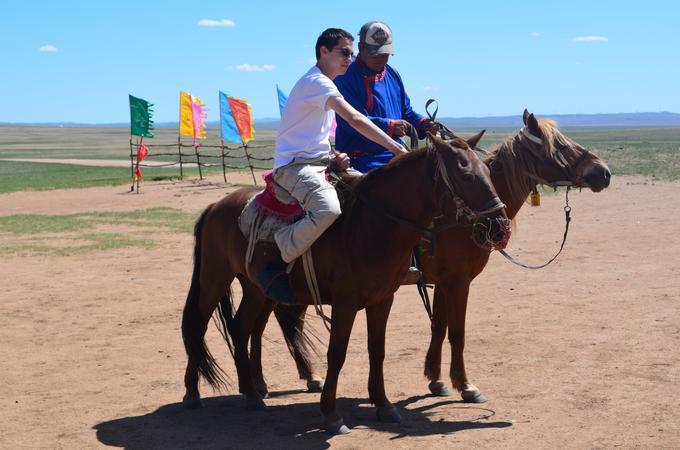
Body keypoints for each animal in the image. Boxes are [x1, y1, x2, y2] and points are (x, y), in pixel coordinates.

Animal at [181, 132, 510, 434]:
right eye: (466, 175)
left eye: (488, 171)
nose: (500, 228)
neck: (371, 225)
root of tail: (215, 206)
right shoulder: (346, 303)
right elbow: (336, 354)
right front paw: (331, 414)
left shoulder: (383, 299)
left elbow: (377, 349)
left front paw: (384, 405)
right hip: (214, 279)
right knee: (198, 326)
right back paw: (193, 393)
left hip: (256, 289)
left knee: (241, 327)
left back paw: (251, 393)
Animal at [248, 110, 612, 408]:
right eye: (560, 146)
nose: (604, 173)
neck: (460, 217)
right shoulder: (457, 280)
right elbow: (456, 330)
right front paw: (464, 384)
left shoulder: (441, 281)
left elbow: (439, 325)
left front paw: (436, 379)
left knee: (273, 323)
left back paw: (296, 378)